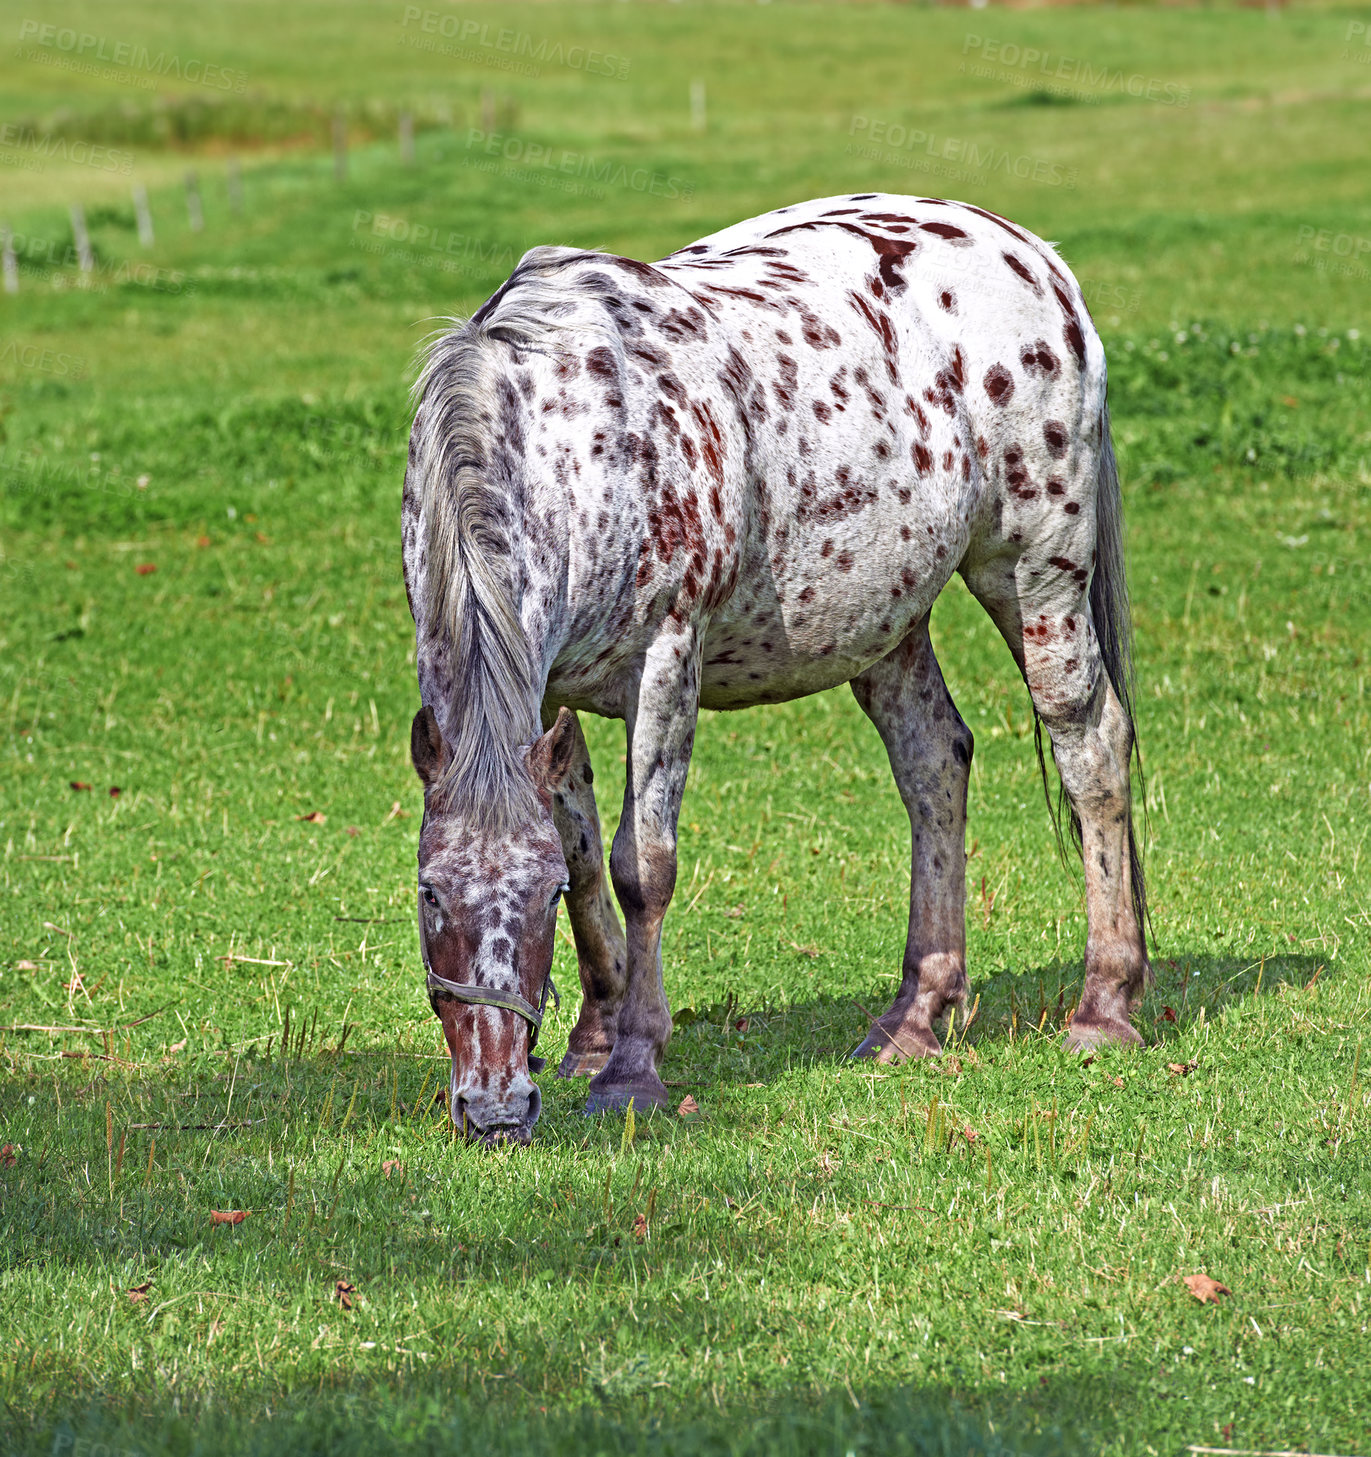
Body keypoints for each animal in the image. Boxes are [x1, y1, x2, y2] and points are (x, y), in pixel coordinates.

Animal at [405, 196, 1142, 1148]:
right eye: (430, 894)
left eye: (537, 898)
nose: (496, 1107)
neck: (573, 442)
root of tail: (1035, 259)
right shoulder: (548, 696)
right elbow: (583, 846)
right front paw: (590, 1036)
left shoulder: (664, 664)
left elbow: (640, 865)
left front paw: (631, 1064)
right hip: (887, 622)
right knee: (934, 764)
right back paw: (912, 1014)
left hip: (1034, 576)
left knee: (1090, 748)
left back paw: (1104, 1005)